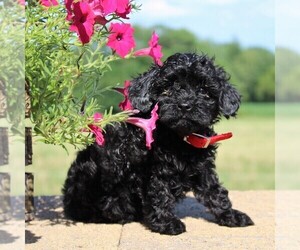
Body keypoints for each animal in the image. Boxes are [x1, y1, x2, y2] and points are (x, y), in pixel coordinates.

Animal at [62, 52, 253, 234]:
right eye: (167, 88)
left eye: (204, 90)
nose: (185, 105)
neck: (178, 138)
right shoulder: (154, 170)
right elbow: (159, 193)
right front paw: (166, 223)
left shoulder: (203, 167)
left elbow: (215, 191)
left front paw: (231, 215)